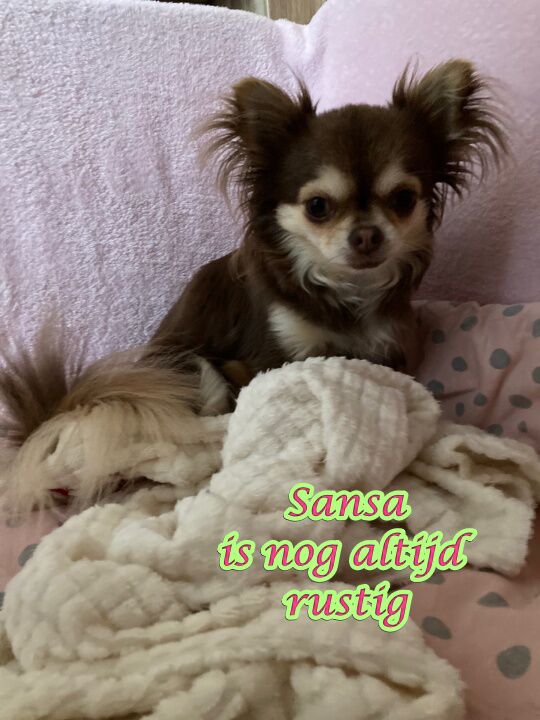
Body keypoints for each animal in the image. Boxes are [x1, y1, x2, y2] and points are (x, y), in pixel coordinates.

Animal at [0, 59, 506, 509]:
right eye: (318, 206)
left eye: (403, 199)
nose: (366, 235)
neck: (345, 292)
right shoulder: (275, 355)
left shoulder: (387, 354)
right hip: (192, 368)